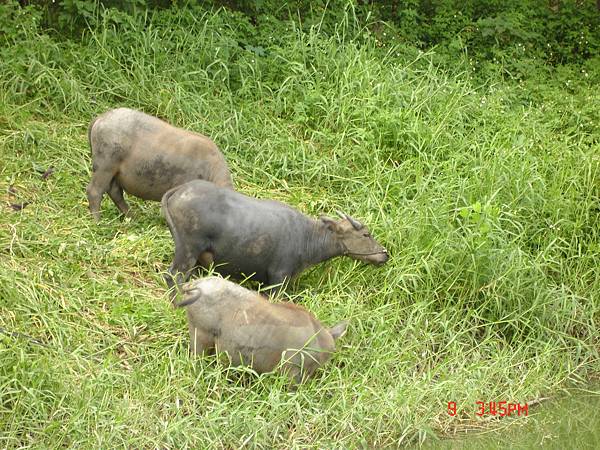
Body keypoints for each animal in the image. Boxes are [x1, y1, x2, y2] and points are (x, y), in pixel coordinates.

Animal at [86, 109, 232, 221]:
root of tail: (101, 118)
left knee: (115, 191)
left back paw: (132, 217)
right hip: (104, 166)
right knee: (94, 191)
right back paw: (98, 221)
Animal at [163, 179, 390, 298]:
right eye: (365, 234)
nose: (384, 255)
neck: (306, 237)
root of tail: (179, 190)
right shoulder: (278, 279)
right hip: (187, 250)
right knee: (174, 276)